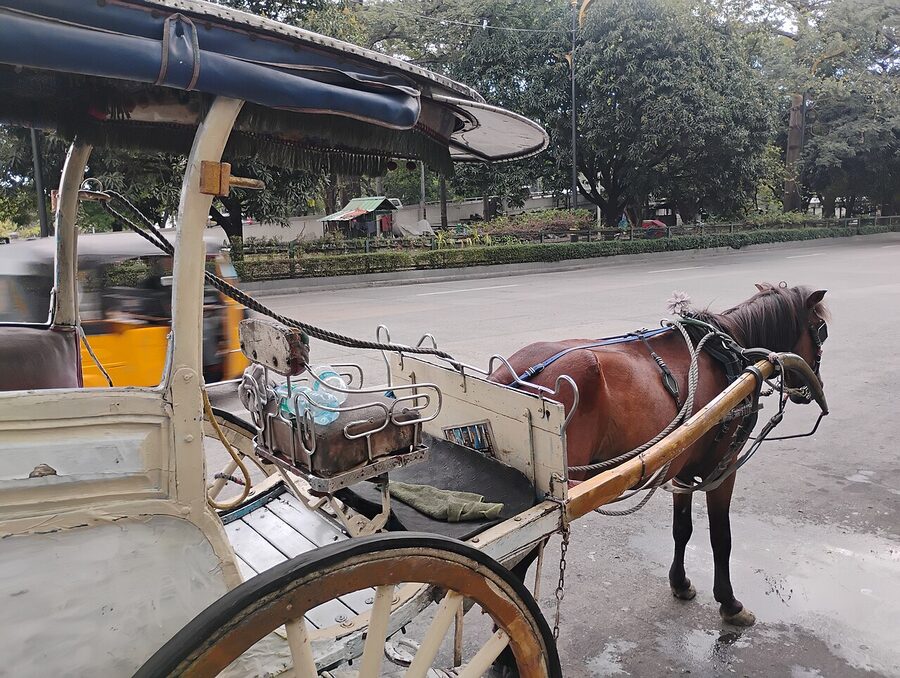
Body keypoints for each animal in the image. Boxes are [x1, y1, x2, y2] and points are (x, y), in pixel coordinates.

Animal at [491, 283, 829, 626]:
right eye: (820, 329)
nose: (811, 387)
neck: (726, 355)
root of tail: (512, 377)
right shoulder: (724, 467)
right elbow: (721, 537)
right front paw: (730, 602)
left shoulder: (681, 468)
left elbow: (682, 528)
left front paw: (680, 582)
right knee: (514, 575)